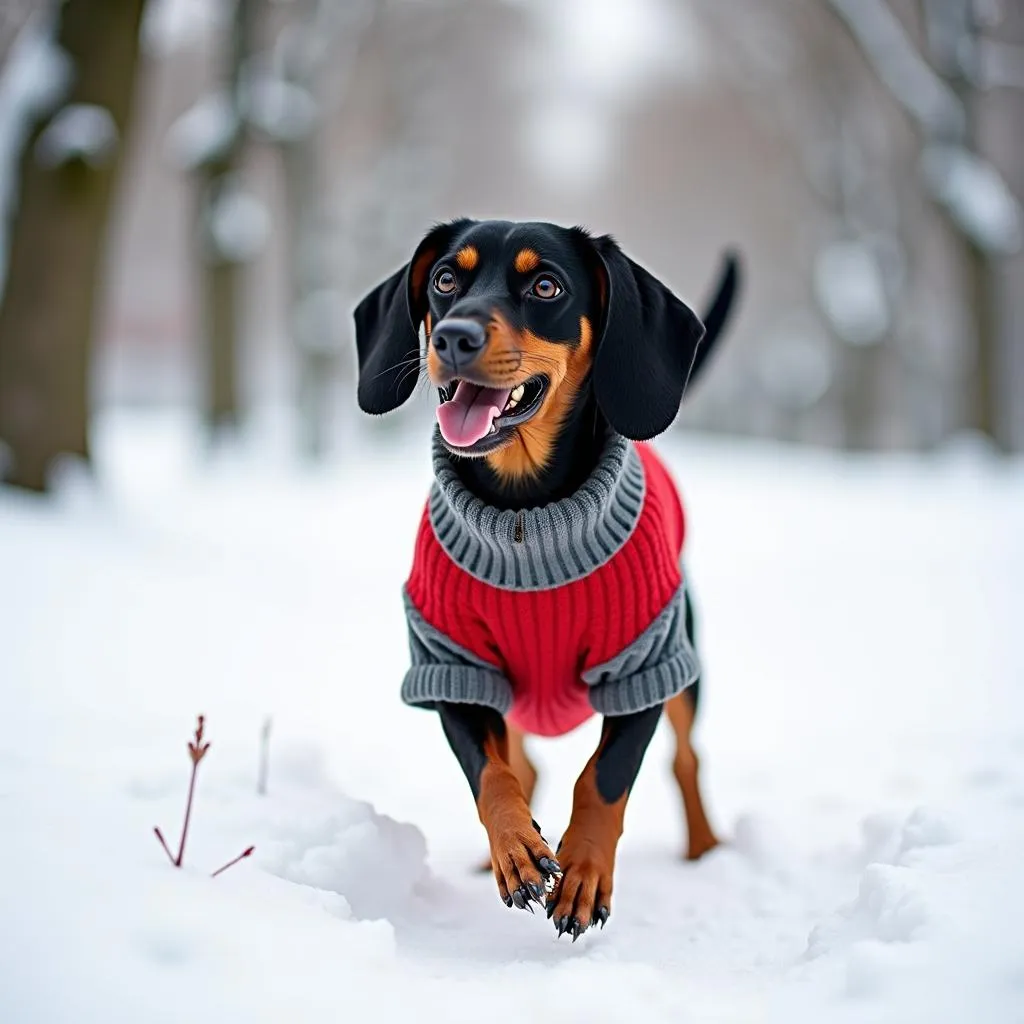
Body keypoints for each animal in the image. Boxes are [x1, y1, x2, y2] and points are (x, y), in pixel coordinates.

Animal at [356, 220, 741, 937]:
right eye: (445, 278)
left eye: (545, 286)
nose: (453, 337)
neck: (525, 517)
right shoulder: (452, 665)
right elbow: (492, 774)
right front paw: (517, 849)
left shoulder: (644, 663)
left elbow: (605, 777)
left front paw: (585, 871)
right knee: (524, 761)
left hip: (684, 664)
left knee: (687, 758)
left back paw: (705, 848)